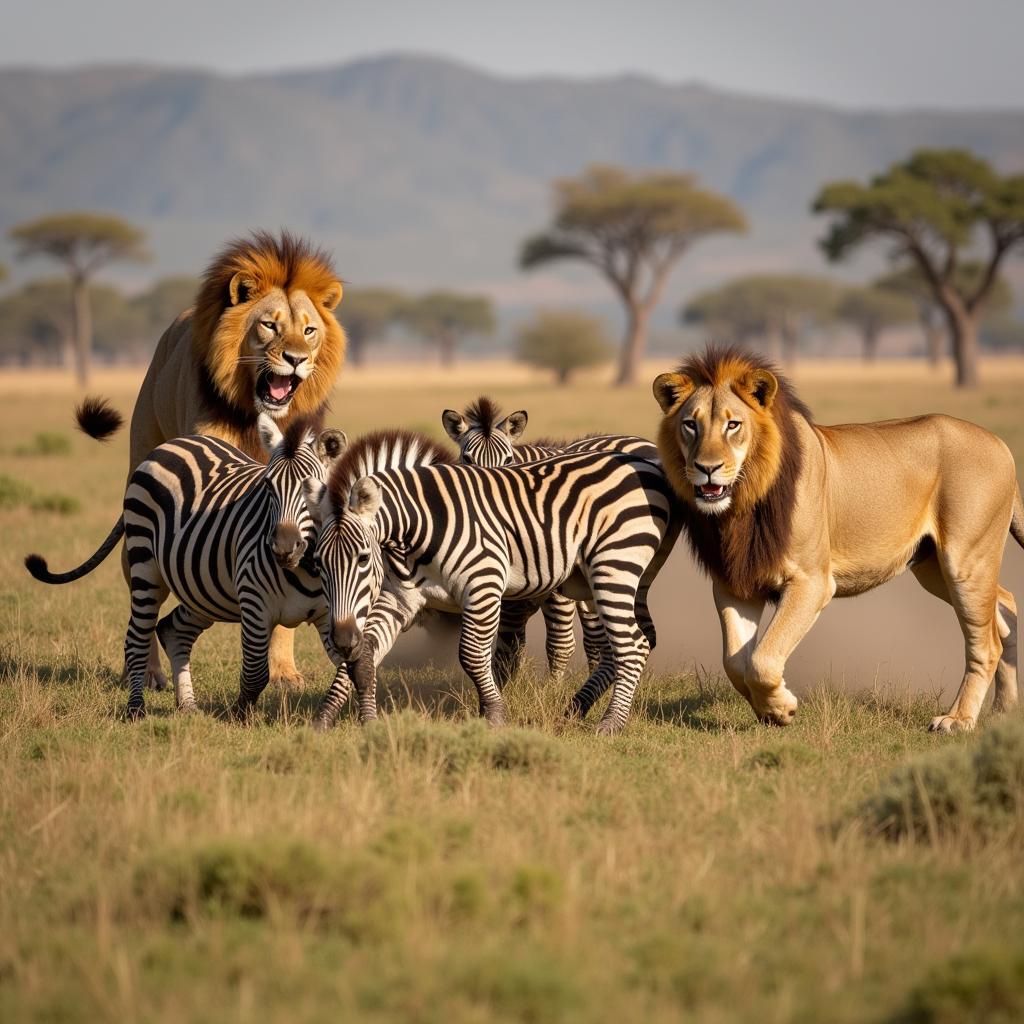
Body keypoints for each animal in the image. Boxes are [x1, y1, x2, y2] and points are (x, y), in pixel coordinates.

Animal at [24, 413, 350, 720]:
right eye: (268, 487)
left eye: (313, 491)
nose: (282, 548)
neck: (306, 571)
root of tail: (170, 445)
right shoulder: (254, 604)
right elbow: (256, 673)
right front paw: (239, 718)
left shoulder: (334, 614)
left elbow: (349, 669)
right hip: (146, 565)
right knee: (137, 638)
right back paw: (136, 709)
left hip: (204, 589)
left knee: (172, 629)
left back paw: (188, 706)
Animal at [78, 232, 348, 688]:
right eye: (270, 325)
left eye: (309, 330)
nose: (296, 358)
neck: (256, 414)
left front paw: (284, 673)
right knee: (143, 592)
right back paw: (148, 673)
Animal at [301, 432, 679, 737]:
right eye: (318, 564)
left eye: (364, 559)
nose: (341, 639)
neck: (417, 527)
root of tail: (647, 462)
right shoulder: (398, 598)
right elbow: (363, 655)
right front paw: (335, 719)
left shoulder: (482, 584)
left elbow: (471, 654)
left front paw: (494, 714)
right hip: (618, 576)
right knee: (633, 642)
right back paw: (577, 709)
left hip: (613, 565)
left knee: (632, 645)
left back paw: (611, 724)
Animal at [438, 395, 659, 684]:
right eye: (467, 458)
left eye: (508, 458)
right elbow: (509, 643)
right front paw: (507, 686)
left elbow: (557, 643)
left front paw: (550, 690)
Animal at [651, 348, 1019, 733]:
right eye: (690, 425)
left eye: (733, 425)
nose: (706, 468)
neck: (742, 504)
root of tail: (999, 443)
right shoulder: (735, 583)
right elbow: (736, 661)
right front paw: (769, 710)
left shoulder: (812, 581)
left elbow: (764, 658)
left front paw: (783, 707)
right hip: (935, 568)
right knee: (1006, 608)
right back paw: (1004, 710)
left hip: (965, 562)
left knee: (987, 643)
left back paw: (958, 719)